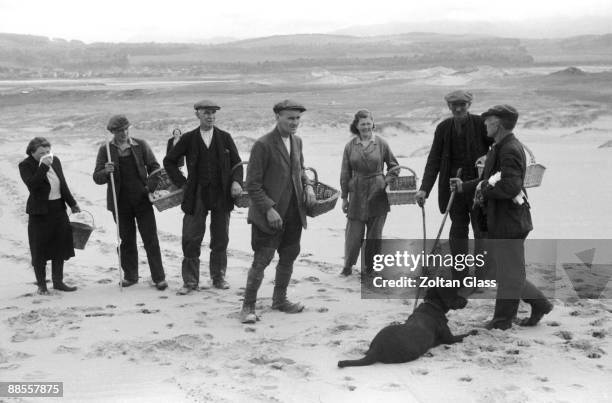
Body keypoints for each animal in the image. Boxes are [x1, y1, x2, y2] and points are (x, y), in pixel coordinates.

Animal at [340, 286, 474, 368]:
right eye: (454, 293)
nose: (467, 300)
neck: (433, 305)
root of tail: (376, 349)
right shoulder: (449, 339)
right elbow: (464, 335)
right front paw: (474, 331)